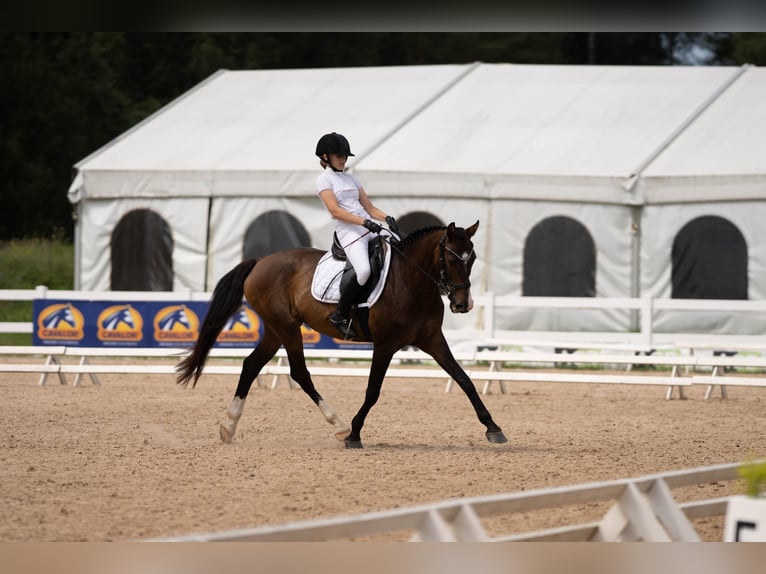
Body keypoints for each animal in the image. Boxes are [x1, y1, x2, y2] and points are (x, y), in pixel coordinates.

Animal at [176, 220, 508, 450]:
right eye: (451, 260)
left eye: (472, 259)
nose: (462, 304)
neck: (411, 281)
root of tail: (261, 261)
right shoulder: (385, 345)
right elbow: (372, 391)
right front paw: (354, 433)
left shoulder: (432, 340)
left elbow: (464, 380)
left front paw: (493, 428)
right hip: (286, 327)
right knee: (299, 373)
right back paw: (338, 425)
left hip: (275, 329)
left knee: (251, 365)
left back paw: (228, 427)